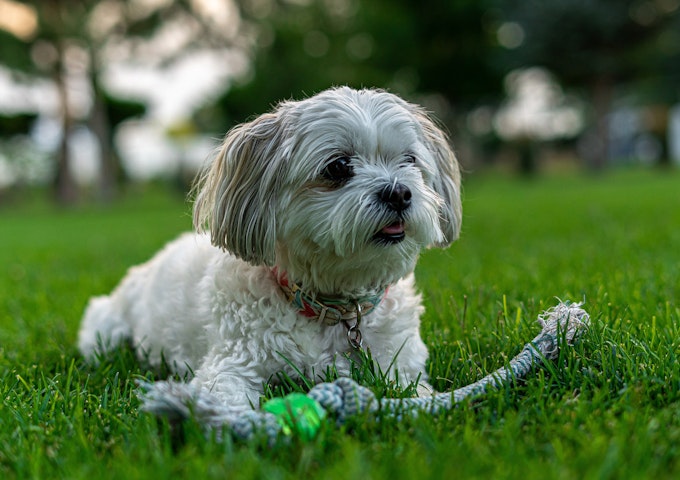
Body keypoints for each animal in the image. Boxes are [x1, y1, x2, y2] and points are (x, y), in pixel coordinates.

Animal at [79, 85, 462, 408]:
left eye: (410, 160)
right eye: (338, 166)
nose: (399, 192)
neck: (333, 309)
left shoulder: (401, 364)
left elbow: (418, 393)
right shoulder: (231, 365)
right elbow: (227, 401)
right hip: (105, 329)